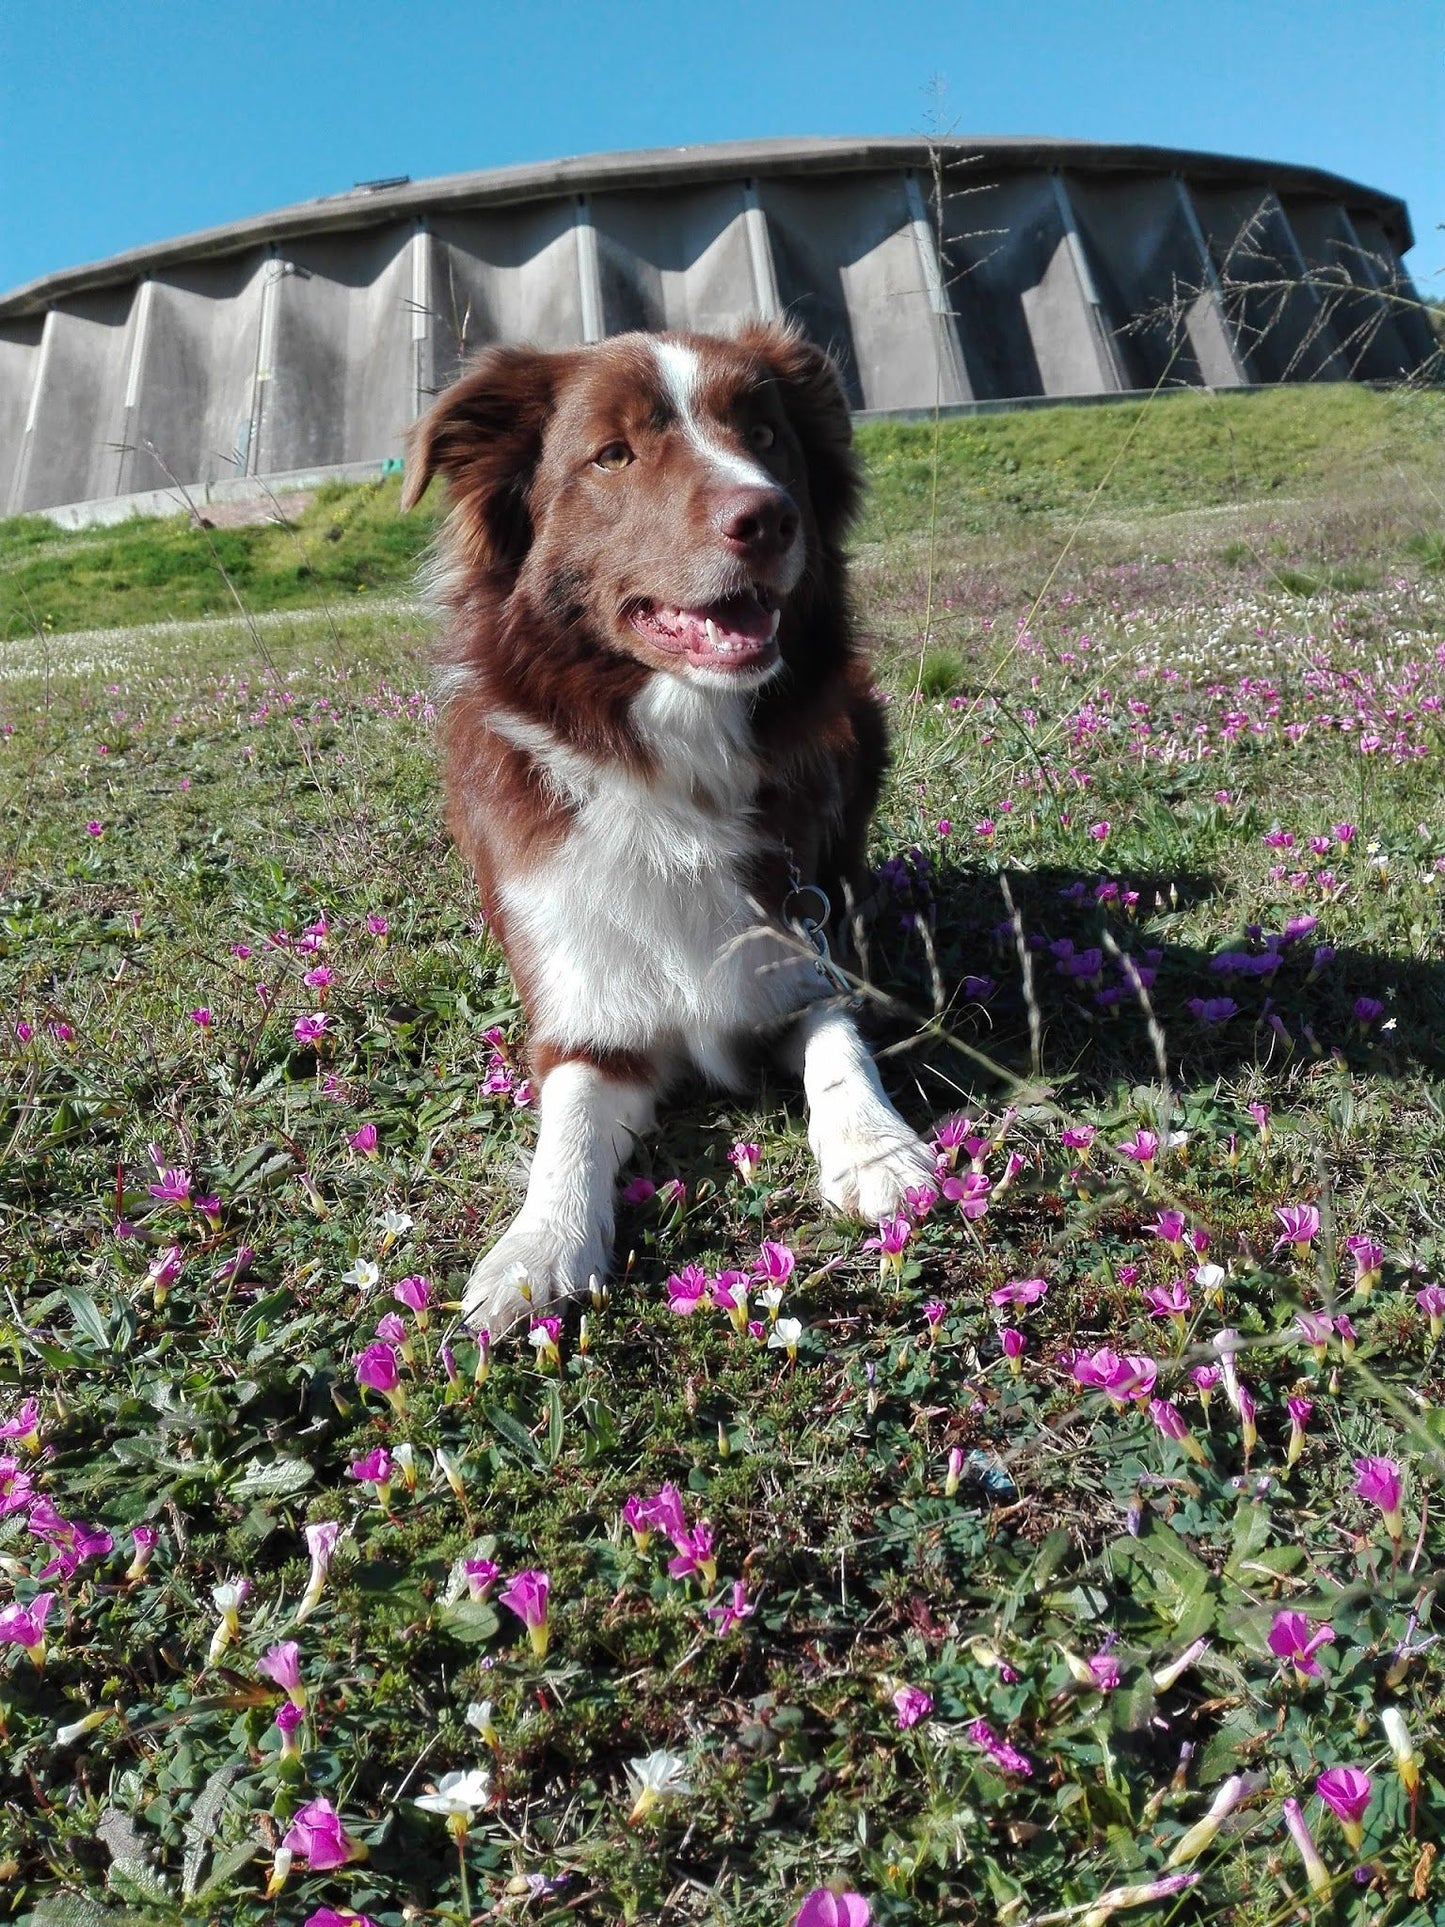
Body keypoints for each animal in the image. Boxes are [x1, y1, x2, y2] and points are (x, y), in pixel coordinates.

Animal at [402, 323, 932, 1333]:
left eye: (764, 436)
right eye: (613, 455)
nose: (766, 517)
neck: (674, 773)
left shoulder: (802, 956)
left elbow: (840, 1045)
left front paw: (874, 1147)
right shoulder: (583, 1016)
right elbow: (565, 1125)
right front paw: (536, 1245)